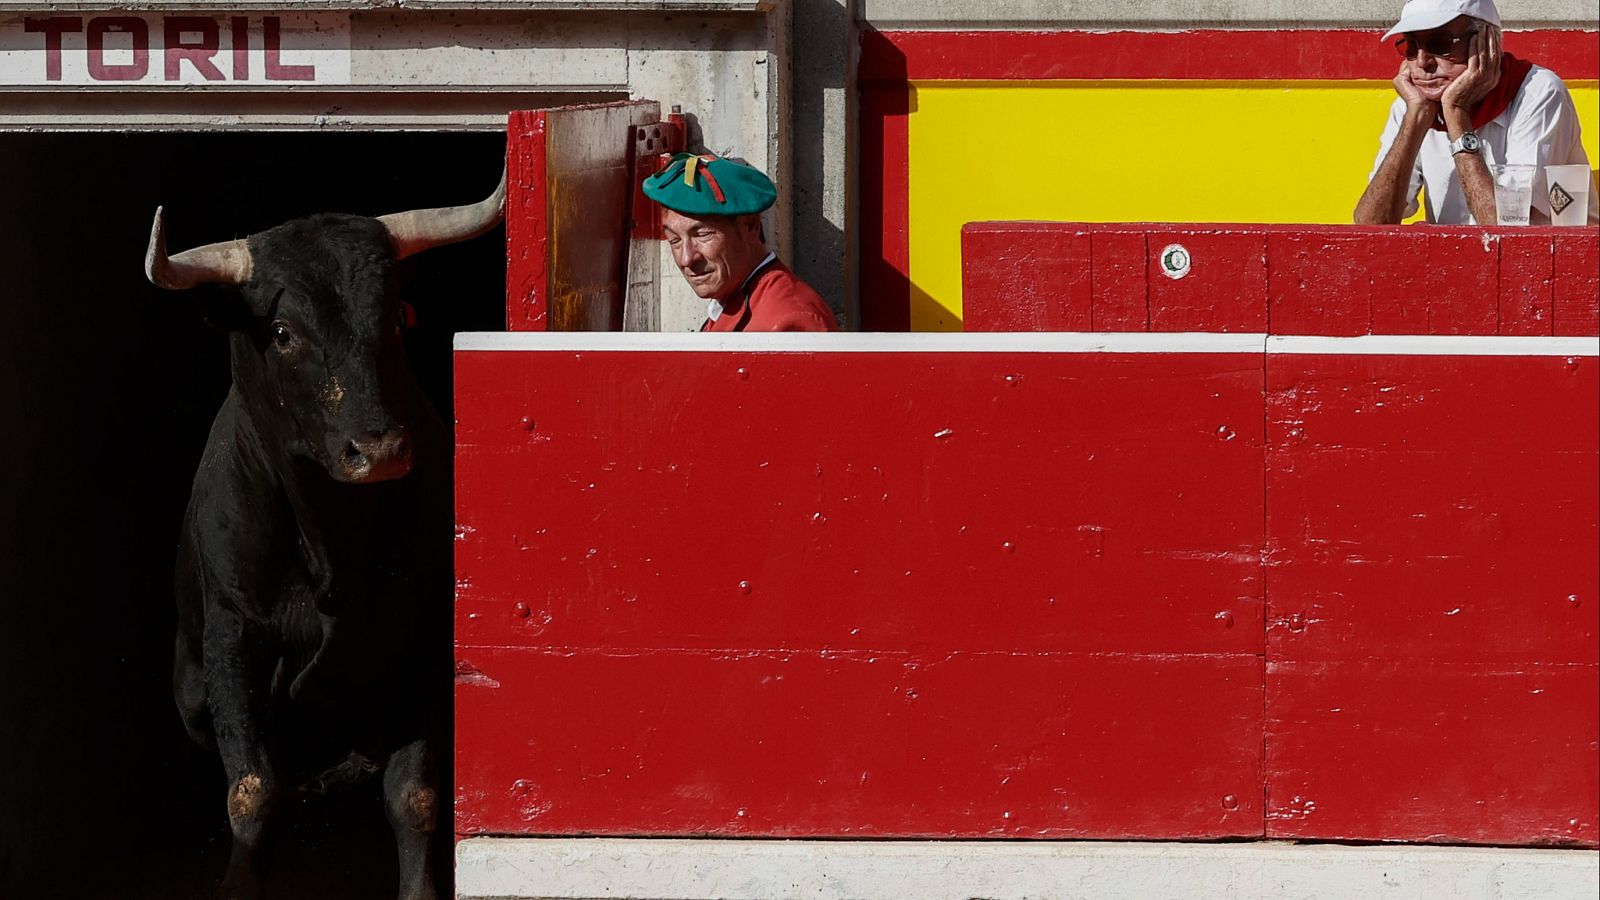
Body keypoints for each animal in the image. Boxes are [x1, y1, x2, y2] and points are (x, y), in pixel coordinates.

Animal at [148, 175, 505, 896]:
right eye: (283, 331)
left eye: (395, 318)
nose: (381, 450)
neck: (332, 540)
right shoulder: (231, 636)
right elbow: (253, 791)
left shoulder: (426, 642)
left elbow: (413, 795)